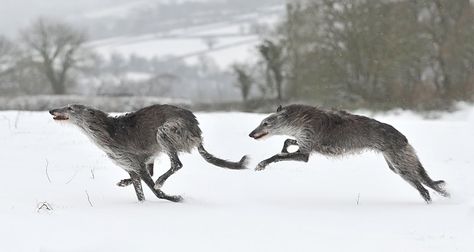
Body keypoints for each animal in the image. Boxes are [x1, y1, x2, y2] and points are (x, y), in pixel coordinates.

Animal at [49, 104, 248, 203]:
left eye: (70, 108)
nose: (51, 110)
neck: (107, 131)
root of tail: (197, 130)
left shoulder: (136, 163)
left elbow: (155, 191)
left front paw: (174, 198)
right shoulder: (131, 166)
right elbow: (140, 193)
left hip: (166, 131)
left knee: (176, 164)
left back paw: (161, 181)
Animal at [250, 103, 450, 204]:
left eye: (265, 123)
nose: (251, 134)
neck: (300, 119)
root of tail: (403, 138)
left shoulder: (305, 151)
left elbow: (277, 156)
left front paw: (262, 164)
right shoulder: (304, 141)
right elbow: (288, 142)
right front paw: (285, 147)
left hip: (401, 166)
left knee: (425, 189)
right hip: (397, 165)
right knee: (430, 184)